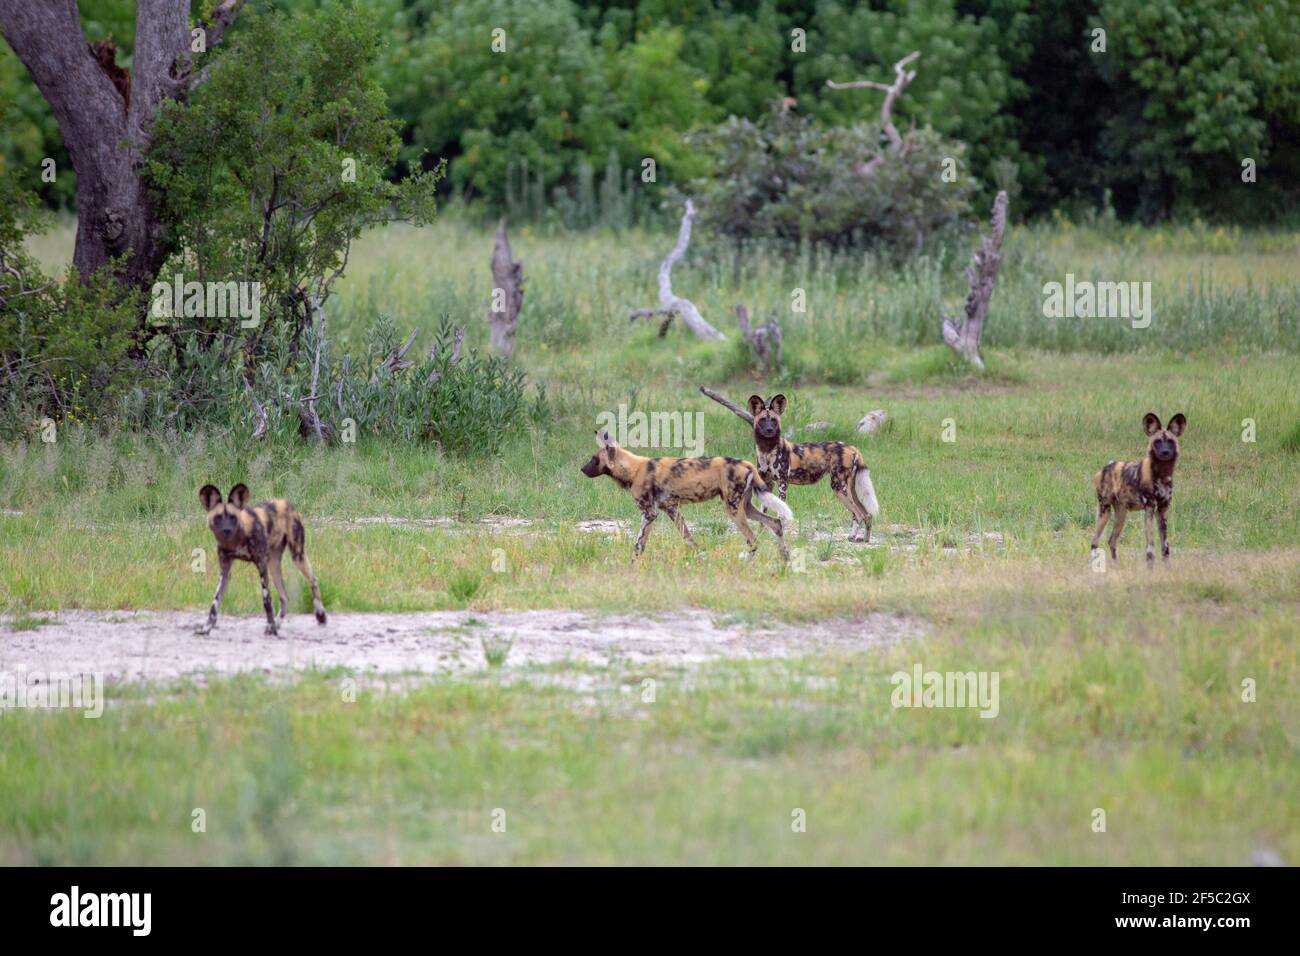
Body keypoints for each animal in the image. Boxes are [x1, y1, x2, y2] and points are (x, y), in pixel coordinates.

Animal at [200, 486, 330, 634]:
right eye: (218, 517)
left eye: (233, 517)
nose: (226, 530)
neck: (236, 539)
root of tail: (287, 503)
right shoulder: (225, 572)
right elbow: (215, 601)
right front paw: (206, 627)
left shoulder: (261, 565)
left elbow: (266, 600)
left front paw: (271, 626)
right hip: (274, 565)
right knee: (284, 596)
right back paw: (277, 623)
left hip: (297, 556)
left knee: (313, 581)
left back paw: (320, 615)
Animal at [579, 426, 790, 561]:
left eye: (594, 459)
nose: (582, 469)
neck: (634, 469)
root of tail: (746, 463)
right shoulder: (671, 509)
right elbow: (689, 538)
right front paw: (701, 558)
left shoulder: (649, 514)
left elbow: (639, 545)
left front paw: (631, 567)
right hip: (745, 507)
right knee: (775, 523)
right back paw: (785, 559)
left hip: (733, 509)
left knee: (753, 540)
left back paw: (747, 562)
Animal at [748, 395, 878, 541]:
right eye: (763, 420)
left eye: (774, 420)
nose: (770, 430)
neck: (767, 451)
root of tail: (852, 447)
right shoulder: (767, 484)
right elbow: (763, 513)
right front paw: (760, 535)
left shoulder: (783, 484)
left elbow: (780, 514)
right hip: (849, 488)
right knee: (867, 514)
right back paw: (865, 539)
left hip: (838, 487)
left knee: (858, 514)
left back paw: (852, 537)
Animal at [1086, 413, 1190, 564]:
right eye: (1157, 441)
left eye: (1170, 441)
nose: (1165, 452)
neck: (1162, 475)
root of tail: (1105, 467)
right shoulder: (1150, 509)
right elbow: (1150, 547)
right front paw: (1150, 566)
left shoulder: (1163, 510)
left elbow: (1165, 547)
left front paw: (1166, 567)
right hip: (1104, 512)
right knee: (1094, 542)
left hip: (1121, 515)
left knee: (1112, 541)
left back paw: (1117, 565)